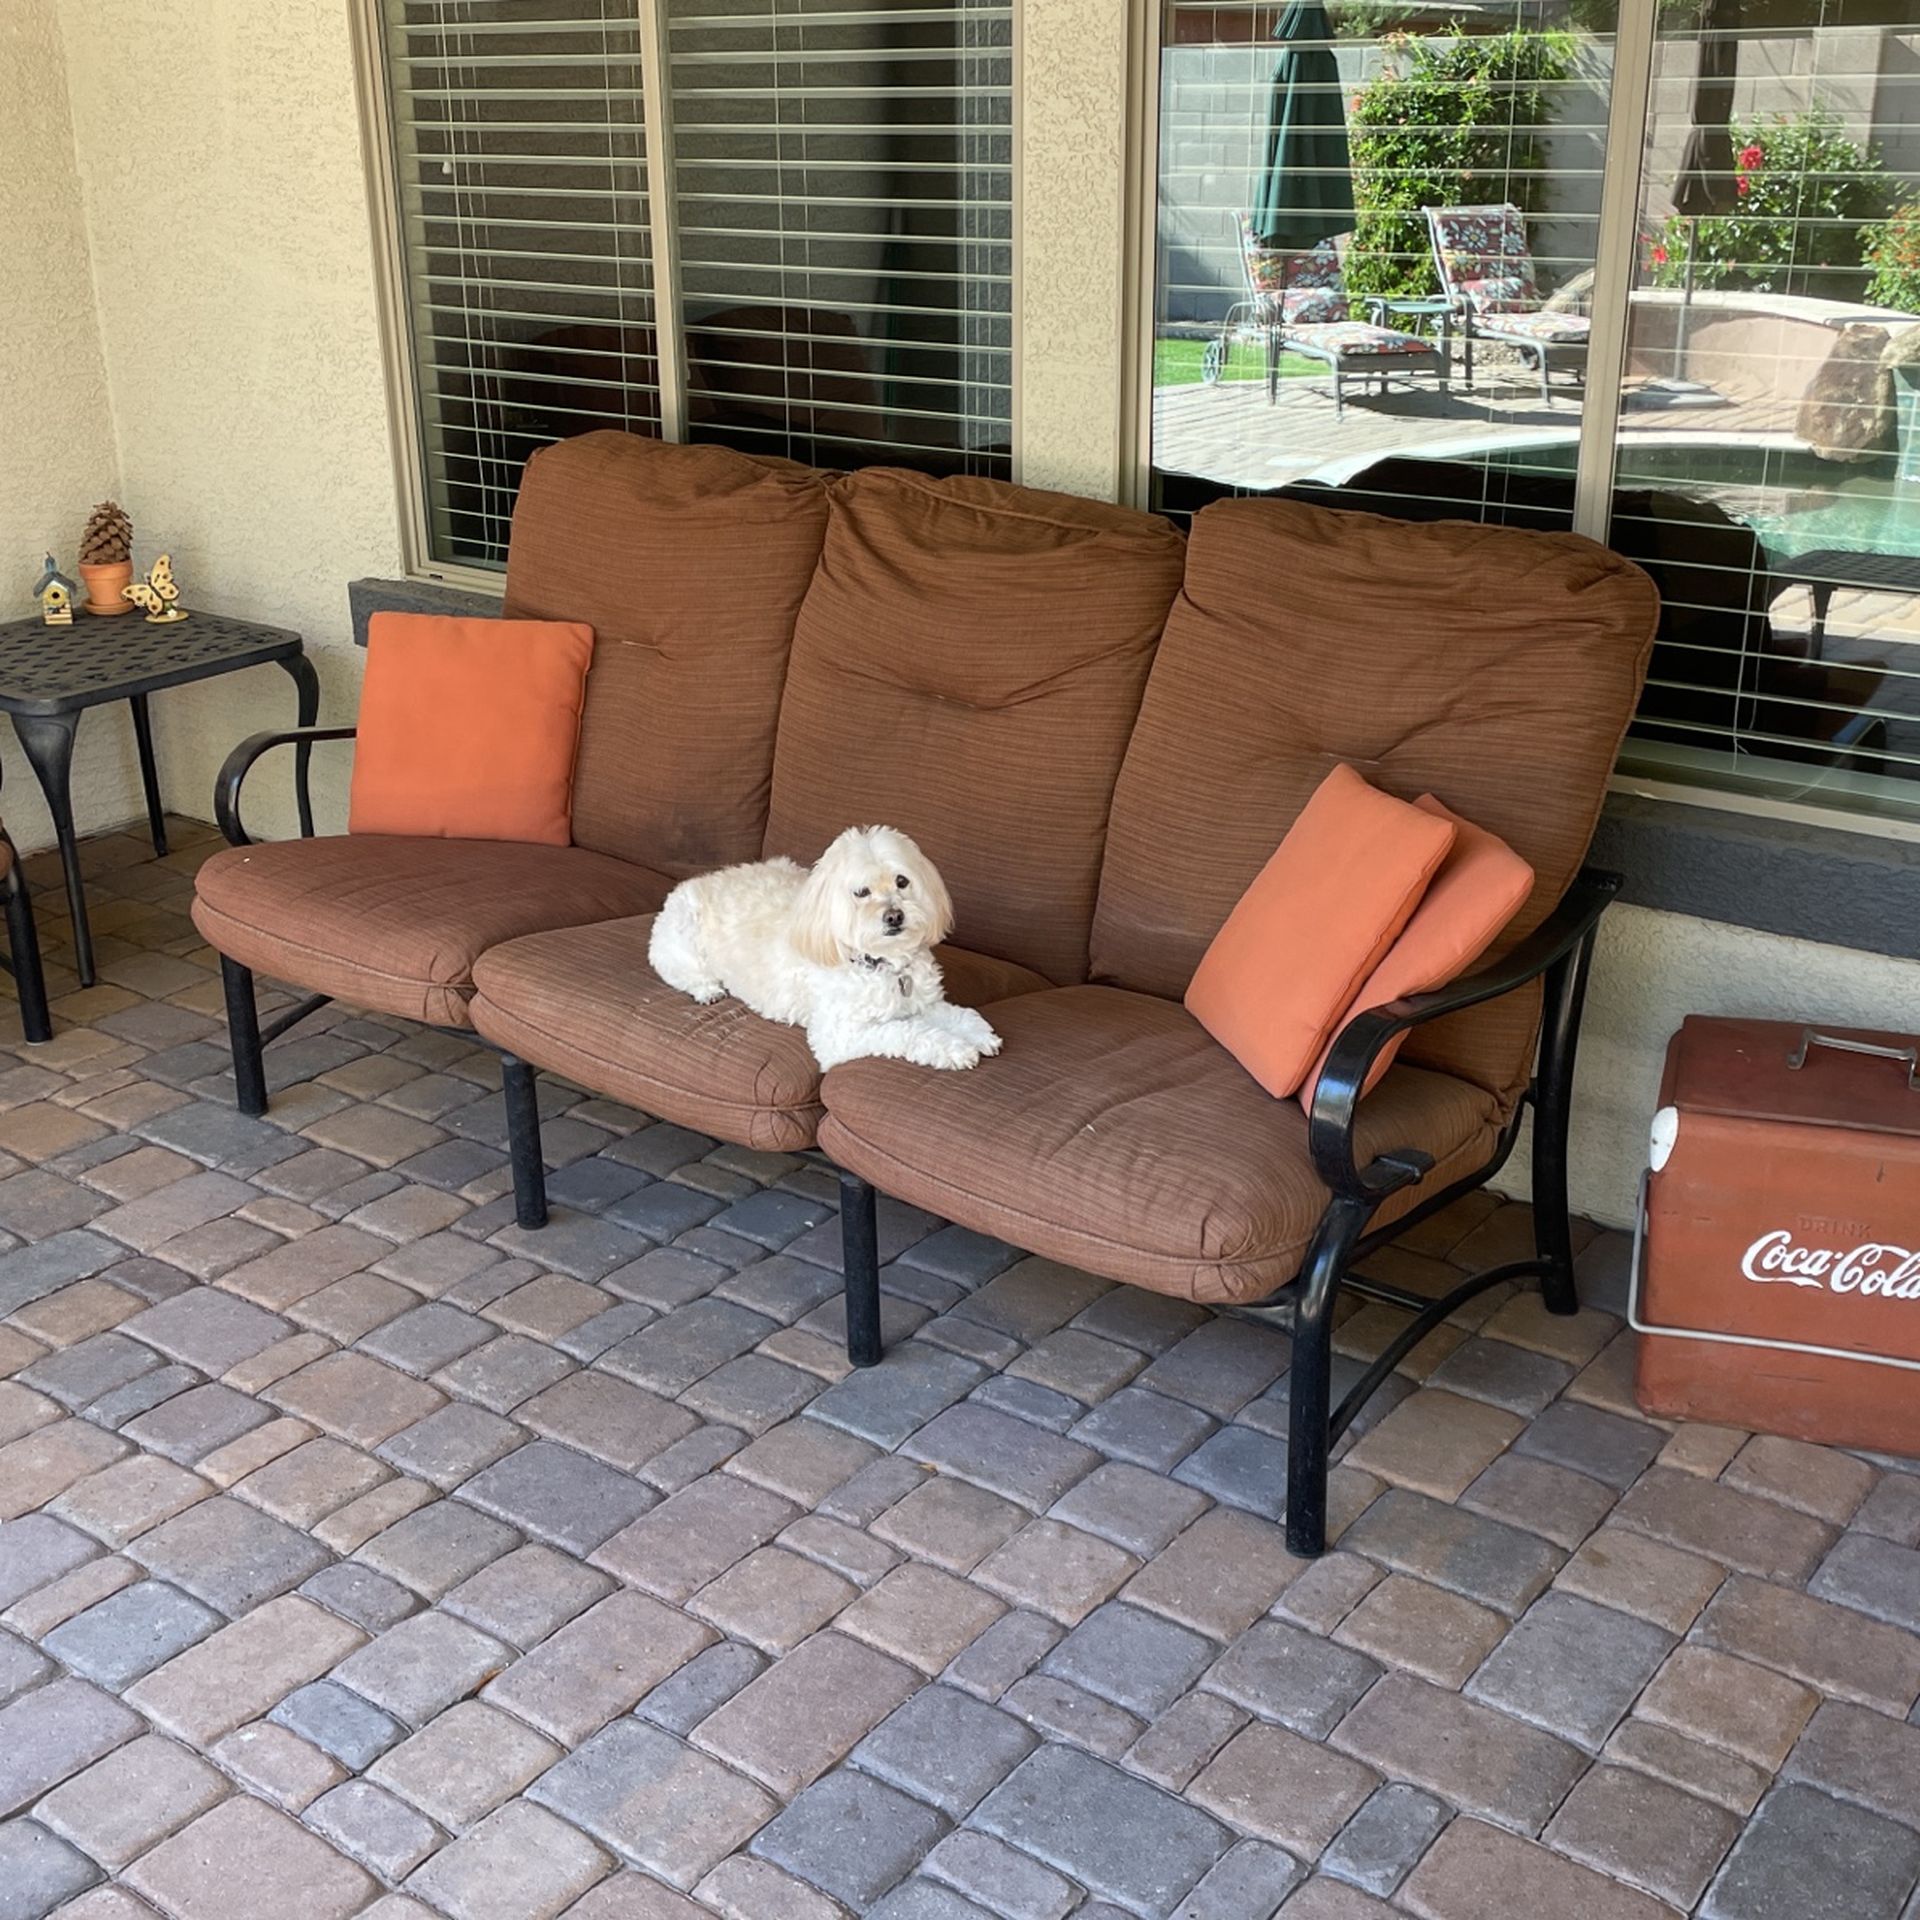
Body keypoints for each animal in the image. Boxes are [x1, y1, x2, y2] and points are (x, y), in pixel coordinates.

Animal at [648, 821, 1006, 1075]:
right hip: (681, 936)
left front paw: (977, 1034)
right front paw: (955, 1049)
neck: (880, 963)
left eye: (902, 881)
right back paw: (707, 990)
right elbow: (909, 1032)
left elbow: (956, 1013)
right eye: (861, 892)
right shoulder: (841, 1036)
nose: (894, 916)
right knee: (682, 972)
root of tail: (696, 881)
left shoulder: (921, 1001)